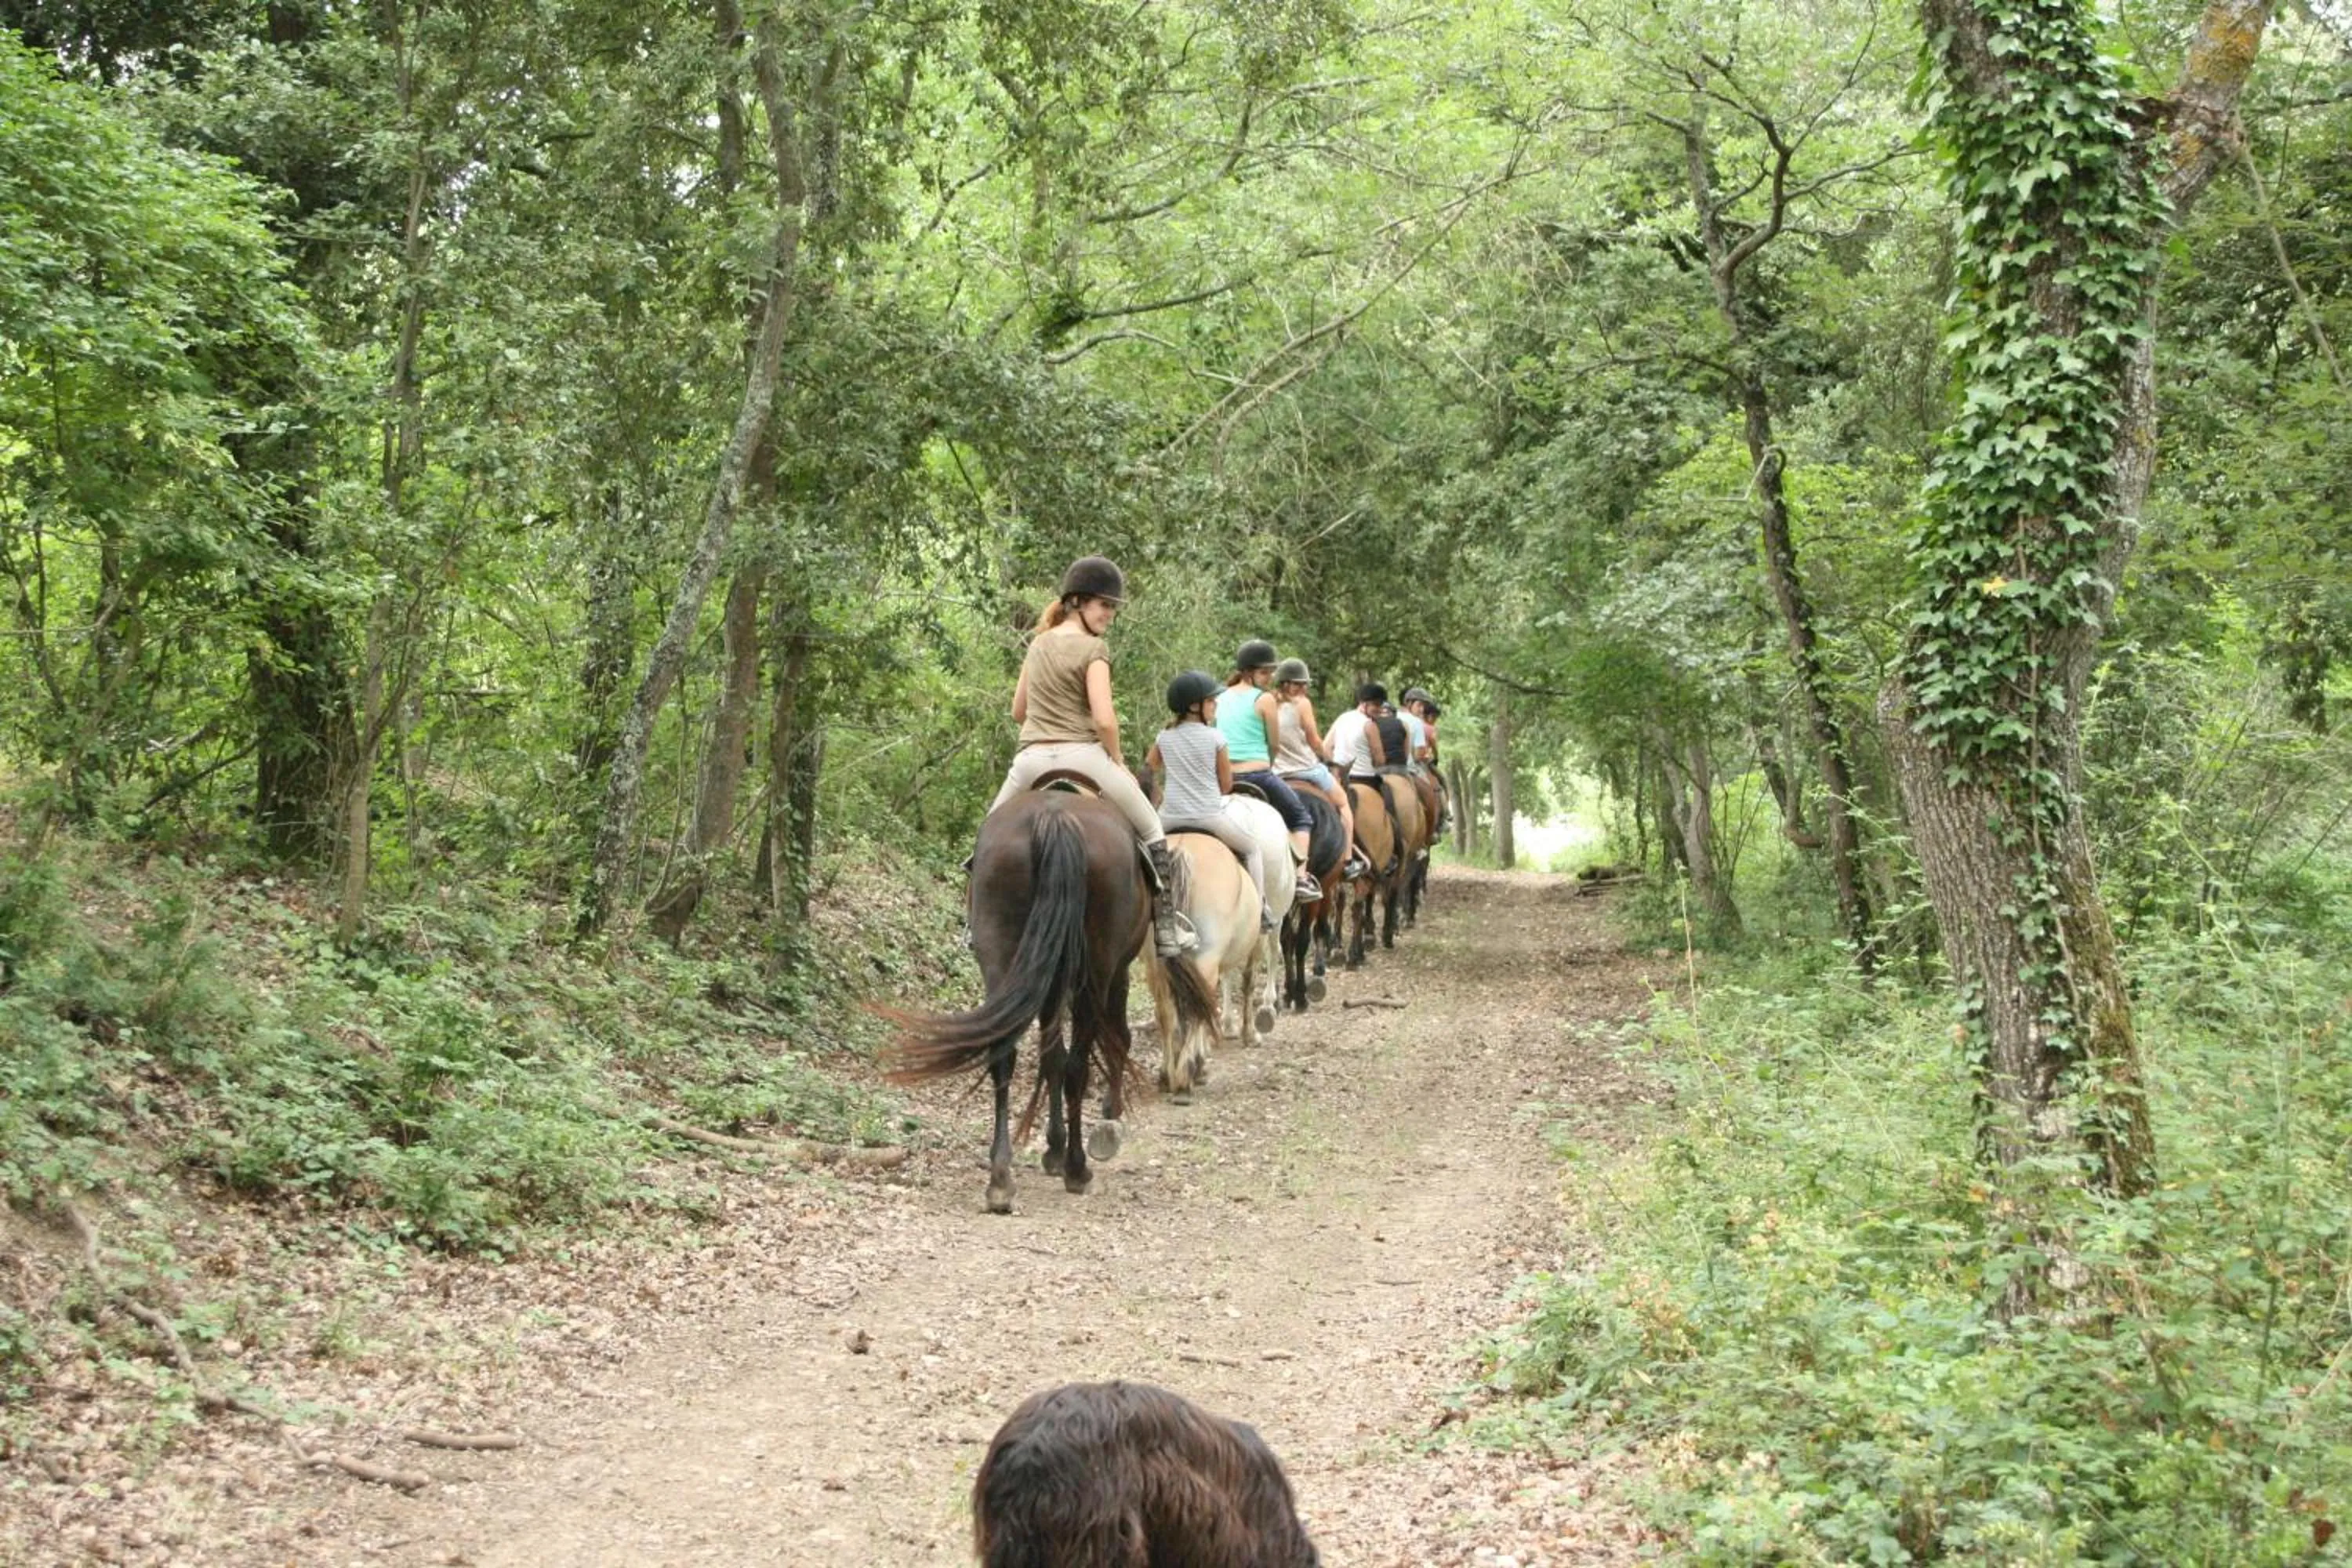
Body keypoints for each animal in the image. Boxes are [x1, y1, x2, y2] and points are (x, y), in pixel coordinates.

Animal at [888, 788, 1216, 1214]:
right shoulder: (1114, 973)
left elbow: (1051, 1056)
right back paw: (1077, 1168)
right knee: (1080, 1062)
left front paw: (1053, 1146)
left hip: (1003, 957)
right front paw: (1102, 1125)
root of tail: (1053, 817)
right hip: (1095, 971)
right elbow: (1107, 1042)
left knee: (1005, 1053)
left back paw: (1001, 1180)